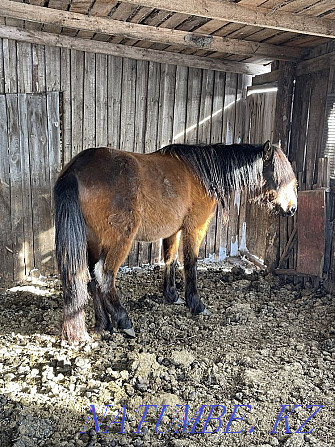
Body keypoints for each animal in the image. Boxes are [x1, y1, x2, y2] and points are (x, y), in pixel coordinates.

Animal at [55, 142, 300, 344]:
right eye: (279, 177)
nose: (292, 209)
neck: (200, 173)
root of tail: (76, 169)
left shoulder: (172, 231)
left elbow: (170, 260)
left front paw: (171, 295)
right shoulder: (196, 227)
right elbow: (190, 263)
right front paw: (196, 304)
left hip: (93, 243)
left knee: (89, 278)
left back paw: (103, 324)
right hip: (118, 241)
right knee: (104, 275)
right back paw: (123, 320)